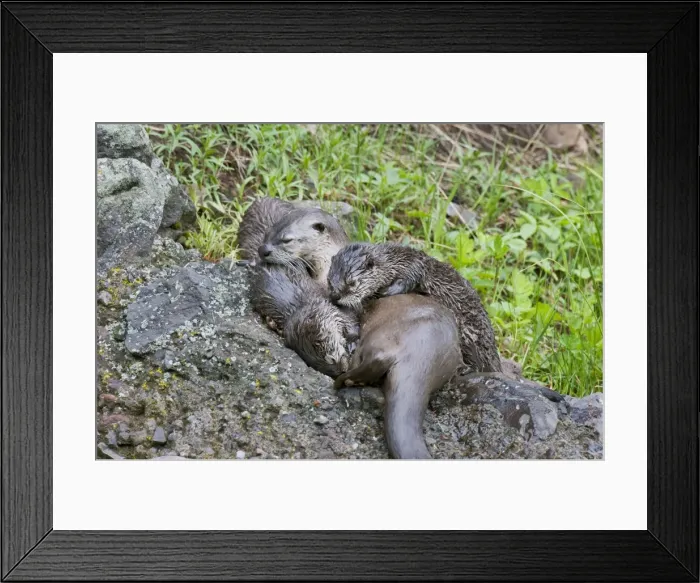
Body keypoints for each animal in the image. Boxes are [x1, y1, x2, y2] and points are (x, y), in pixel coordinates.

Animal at [327, 242, 503, 373]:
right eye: (329, 280)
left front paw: (387, 291)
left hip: (471, 335)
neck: (394, 261)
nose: (335, 296)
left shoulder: (415, 264)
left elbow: (411, 278)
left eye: (351, 283)